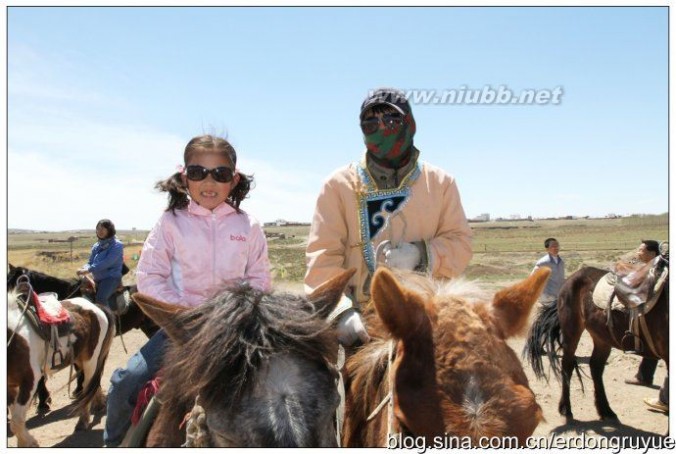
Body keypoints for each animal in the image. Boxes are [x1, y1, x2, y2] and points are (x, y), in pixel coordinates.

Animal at [6, 290, 115, 446]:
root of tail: (95, 306)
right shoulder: (10, 385)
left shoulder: (30, 380)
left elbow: (16, 421)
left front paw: (29, 443)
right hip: (79, 360)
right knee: (93, 384)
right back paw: (99, 404)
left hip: (91, 360)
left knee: (87, 387)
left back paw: (83, 421)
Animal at [524, 258, 668, 420]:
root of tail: (572, 278)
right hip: (572, 331)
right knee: (568, 364)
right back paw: (566, 408)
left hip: (602, 338)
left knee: (596, 366)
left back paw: (605, 410)